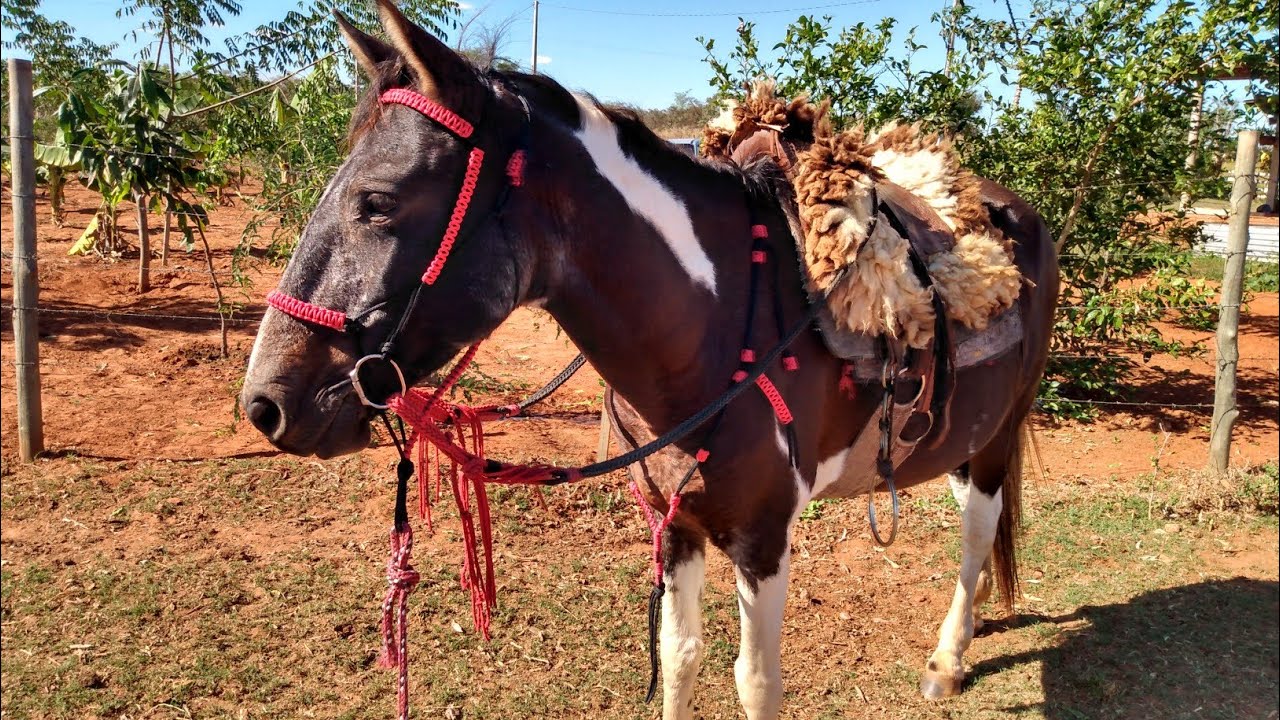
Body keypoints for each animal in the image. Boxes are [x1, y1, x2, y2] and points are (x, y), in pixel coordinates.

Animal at [240, 4, 1059, 712]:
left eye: (377, 202)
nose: (264, 403)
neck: (714, 326)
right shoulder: (678, 523)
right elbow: (681, 658)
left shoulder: (763, 539)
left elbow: (755, 682)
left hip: (999, 435)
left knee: (977, 530)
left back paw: (948, 659)